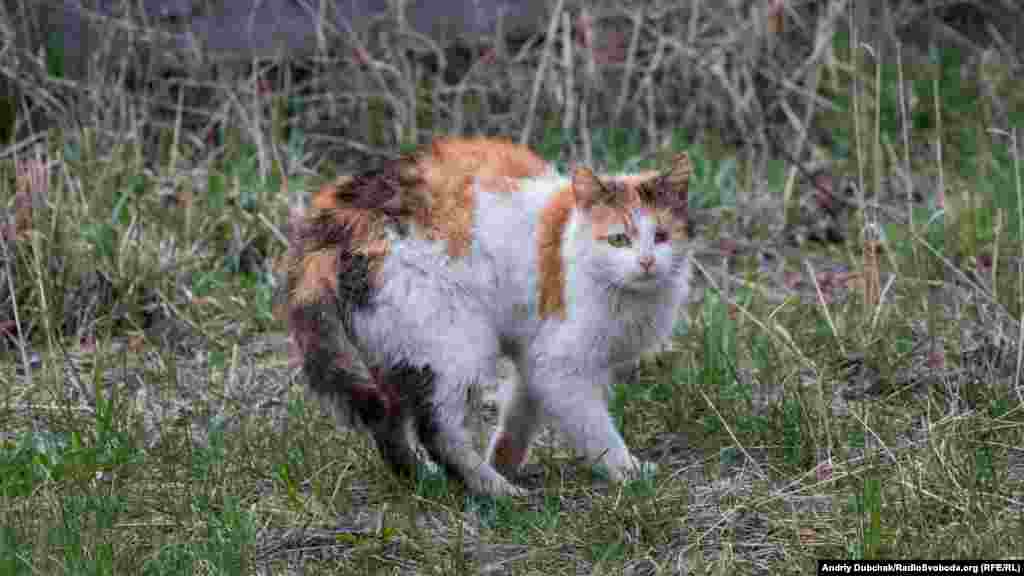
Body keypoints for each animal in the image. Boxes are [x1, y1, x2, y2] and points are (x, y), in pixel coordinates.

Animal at [284, 134, 692, 494]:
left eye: (661, 236)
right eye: (618, 239)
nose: (647, 262)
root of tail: (342, 217)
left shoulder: (536, 361)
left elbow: (518, 418)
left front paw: (504, 460)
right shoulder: (562, 366)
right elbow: (595, 427)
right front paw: (627, 470)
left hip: (395, 350)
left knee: (389, 424)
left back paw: (425, 482)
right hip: (456, 343)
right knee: (438, 430)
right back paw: (495, 491)